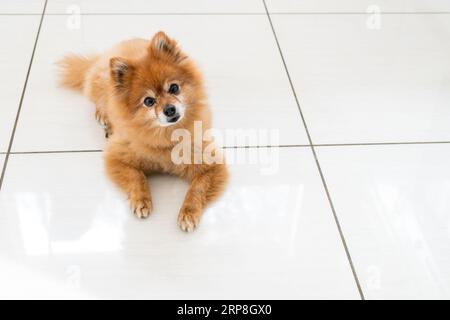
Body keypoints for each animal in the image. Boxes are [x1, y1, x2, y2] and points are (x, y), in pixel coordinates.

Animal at [59, 31, 229, 232]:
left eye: (174, 88)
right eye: (149, 101)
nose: (169, 109)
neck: (165, 137)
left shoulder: (210, 164)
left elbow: (197, 189)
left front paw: (188, 213)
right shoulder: (116, 157)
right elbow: (136, 176)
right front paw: (141, 200)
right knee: (99, 100)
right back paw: (104, 118)